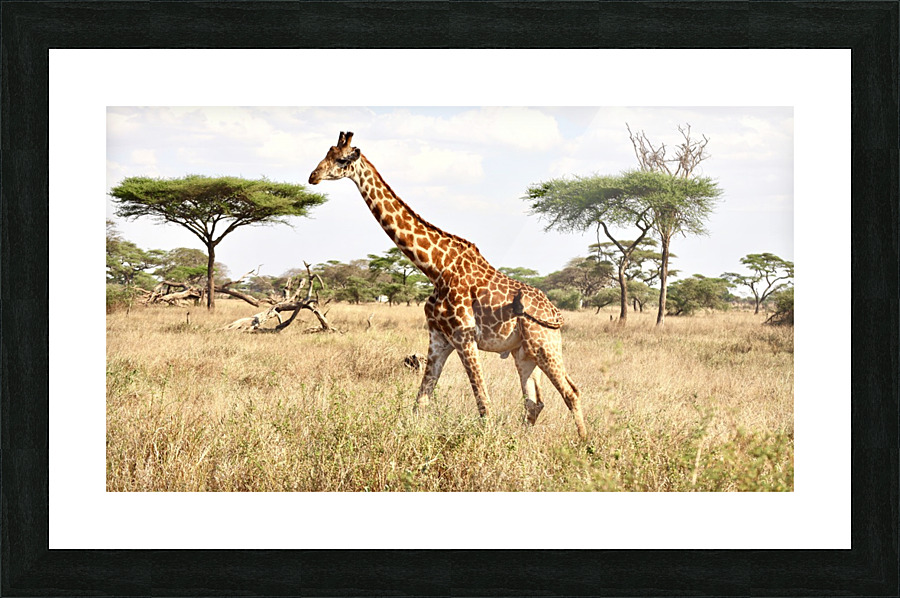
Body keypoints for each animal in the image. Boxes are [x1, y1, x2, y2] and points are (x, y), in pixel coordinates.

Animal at [308, 132, 587, 439]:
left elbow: (484, 404)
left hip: (544, 345)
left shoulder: (464, 336)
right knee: (534, 402)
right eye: (327, 154)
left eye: (342, 160)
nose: (313, 176)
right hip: (523, 352)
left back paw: (585, 444)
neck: (435, 268)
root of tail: (556, 313)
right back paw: (524, 441)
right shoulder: (438, 338)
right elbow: (420, 402)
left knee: (571, 392)